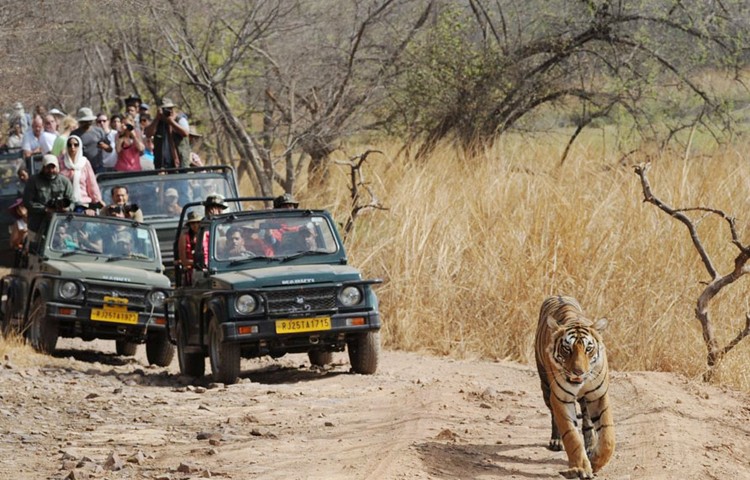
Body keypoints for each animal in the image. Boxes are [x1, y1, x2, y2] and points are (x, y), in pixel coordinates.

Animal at [536, 294, 616, 478]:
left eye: (588, 349)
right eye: (567, 349)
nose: (578, 372)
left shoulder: (598, 395)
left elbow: (608, 437)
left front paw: (596, 462)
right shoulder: (561, 398)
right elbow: (571, 435)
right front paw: (581, 468)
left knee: (587, 421)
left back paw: (591, 445)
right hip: (545, 386)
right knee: (554, 416)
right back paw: (556, 441)